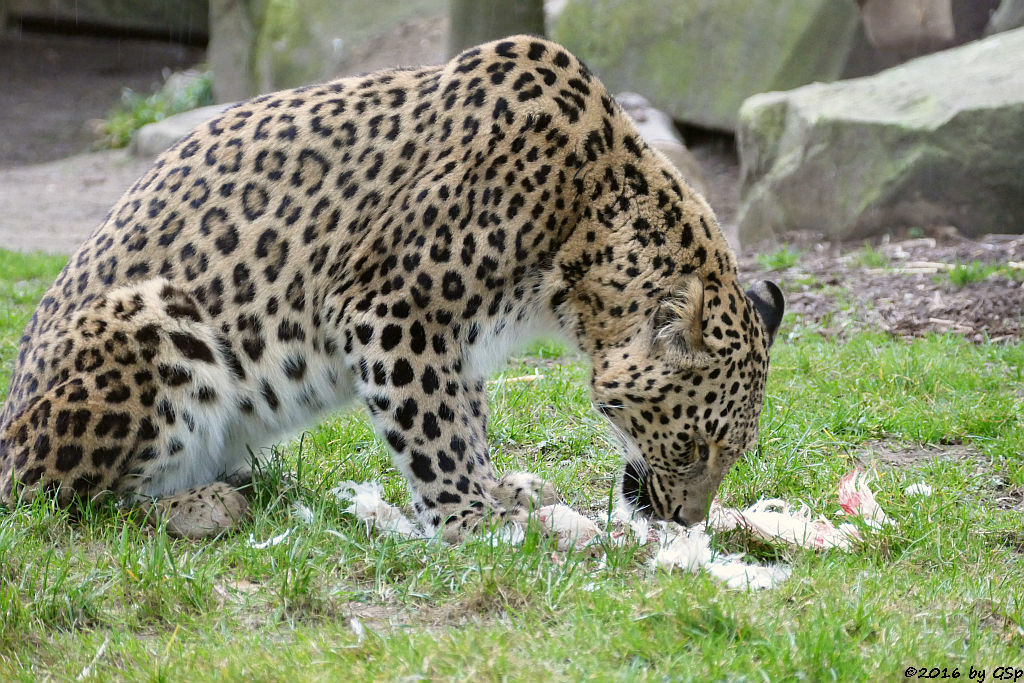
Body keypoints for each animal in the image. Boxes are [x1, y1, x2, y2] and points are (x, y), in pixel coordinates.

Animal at [0, 36, 782, 540]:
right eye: (696, 446)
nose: (686, 521)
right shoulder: (392, 307)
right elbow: (434, 430)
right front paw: (475, 520)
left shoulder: (457, 338)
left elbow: (465, 419)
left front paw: (500, 489)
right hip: (154, 316)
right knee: (62, 503)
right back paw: (202, 506)